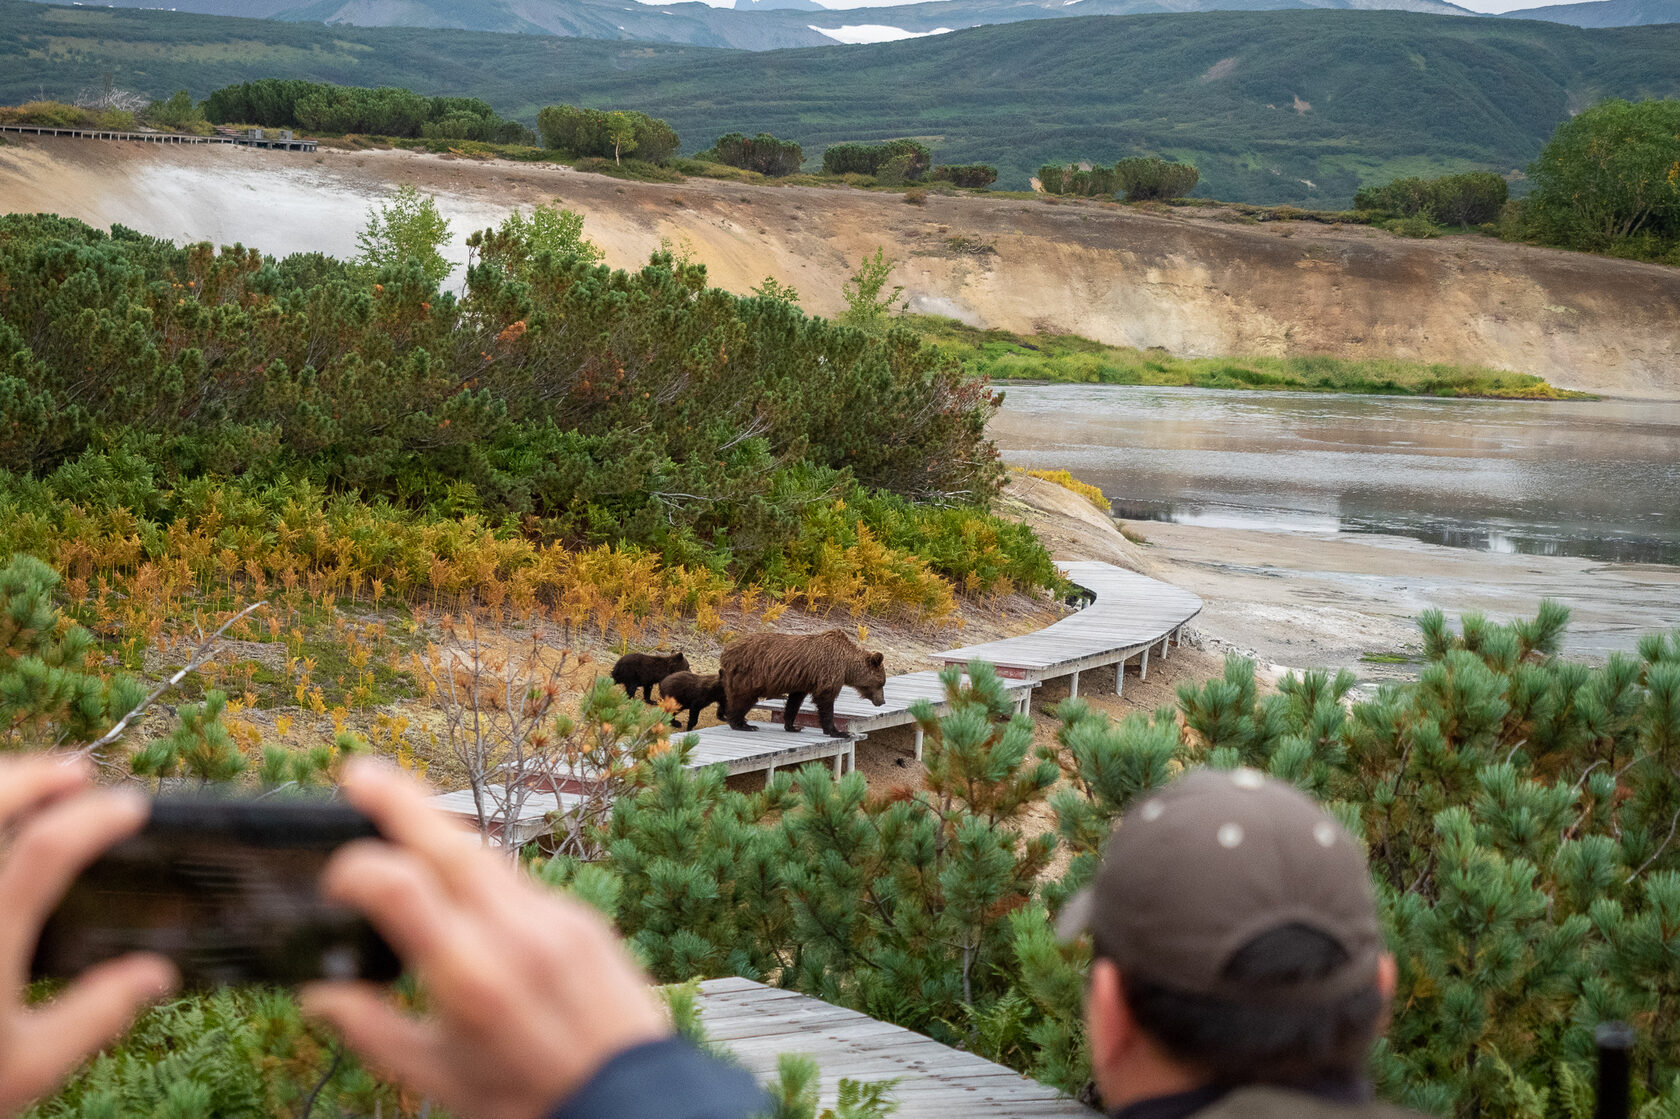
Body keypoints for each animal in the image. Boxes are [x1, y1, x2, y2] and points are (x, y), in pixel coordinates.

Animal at [719, 631, 893, 735]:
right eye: (881, 683)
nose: (882, 701)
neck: (846, 666)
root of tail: (726, 650)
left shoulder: (803, 680)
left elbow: (794, 702)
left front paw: (793, 726)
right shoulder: (828, 673)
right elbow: (825, 701)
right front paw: (837, 731)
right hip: (750, 674)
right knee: (742, 698)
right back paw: (743, 724)